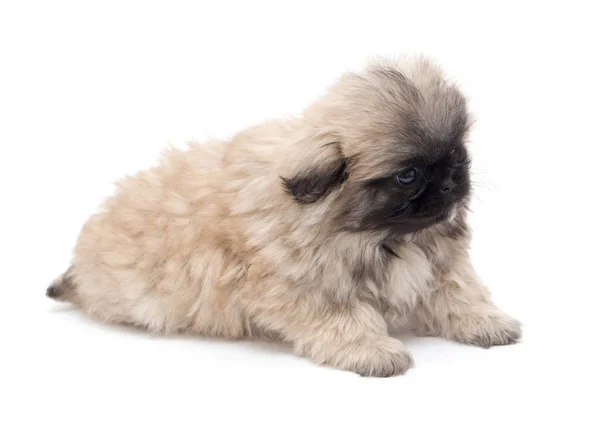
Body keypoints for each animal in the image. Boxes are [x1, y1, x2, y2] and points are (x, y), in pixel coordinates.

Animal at [48, 55, 520, 376]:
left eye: (459, 155)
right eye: (408, 176)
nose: (450, 182)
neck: (378, 234)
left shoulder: (441, 262)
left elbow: (462, 293)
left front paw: (488, 323)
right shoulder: (308, 287)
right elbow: (347, 319)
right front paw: (374, 351)